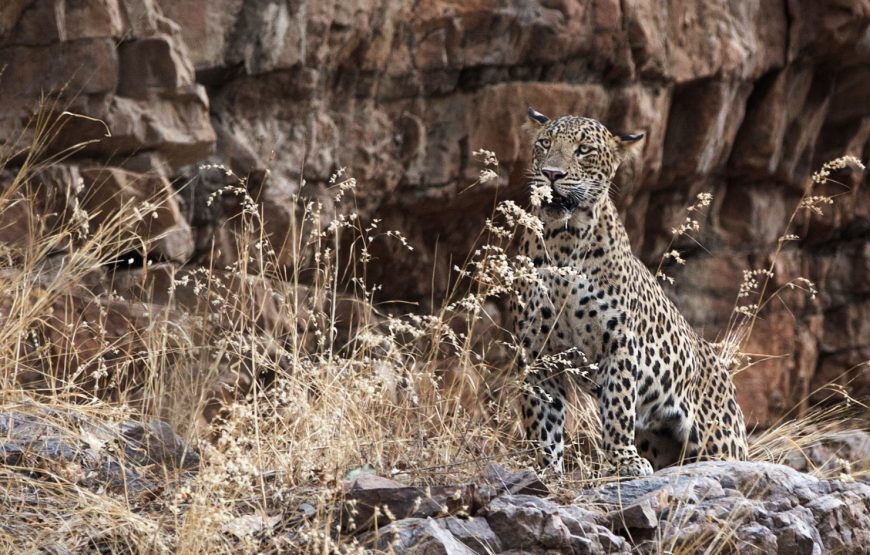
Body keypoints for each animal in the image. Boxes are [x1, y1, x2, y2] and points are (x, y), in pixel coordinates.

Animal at [510, 107, 748, 478]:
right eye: (544, 144)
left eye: (583, 150)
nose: (551, 173)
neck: (564, 240)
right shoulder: (536, 348)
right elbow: (542, 415)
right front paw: (546, 467)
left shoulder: (619, 341)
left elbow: (618, 407)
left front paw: (623, 462)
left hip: (719, 441)